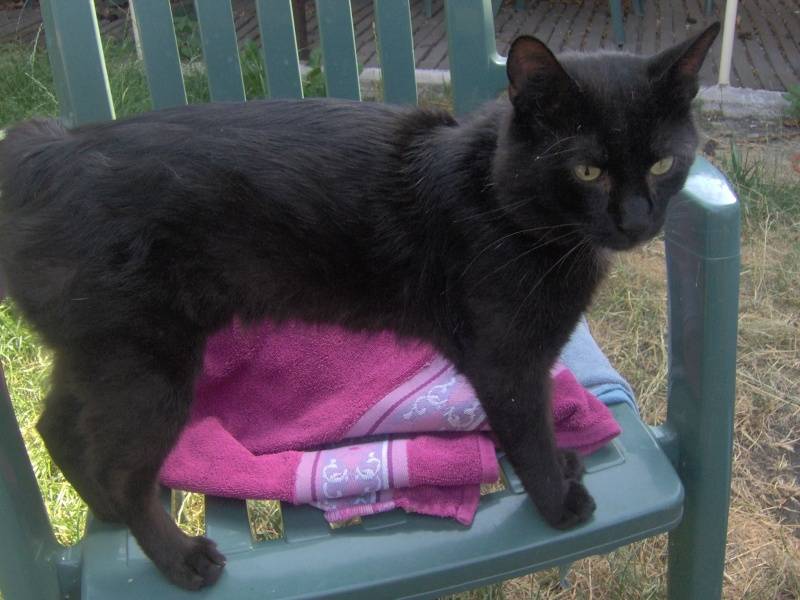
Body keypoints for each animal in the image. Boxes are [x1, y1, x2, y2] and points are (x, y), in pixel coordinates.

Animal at [0, 23, 719, 590]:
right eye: (588, 171)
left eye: (662, 163)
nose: (636, 220)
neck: (497, 196)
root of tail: (43, 153)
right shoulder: (505, 360)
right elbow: (526, 427)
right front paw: (557, 497)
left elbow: (531, 422)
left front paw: (561, 463)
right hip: (147, 364)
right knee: (120, 467)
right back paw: (178, 558)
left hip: (99, 353)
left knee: (55, 424)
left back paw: (107, 510)